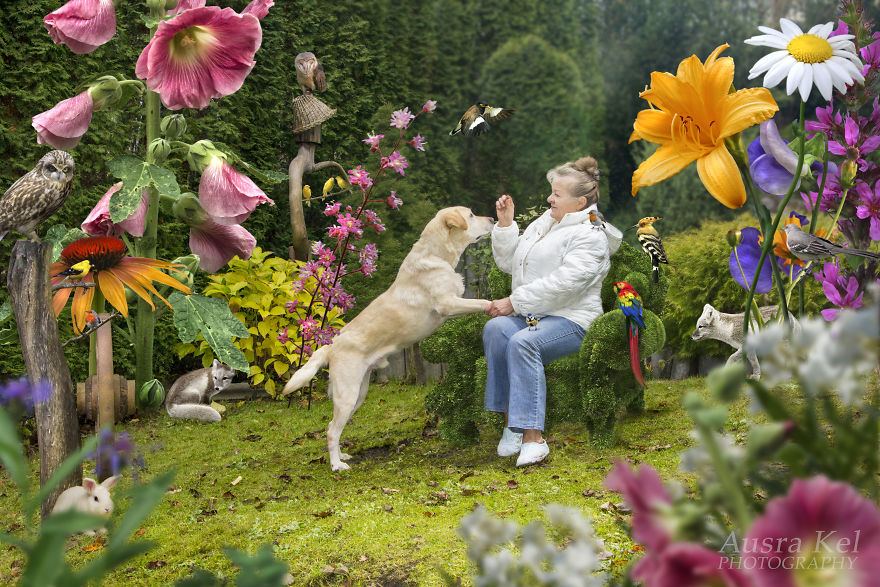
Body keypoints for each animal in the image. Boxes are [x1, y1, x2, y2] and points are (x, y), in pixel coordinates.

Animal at [284, 208, 496, 474]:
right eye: (471, 215)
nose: (493, 219)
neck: (436, 254)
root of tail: (330, 346)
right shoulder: (448, 304)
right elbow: (484, 302)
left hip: (359, 393)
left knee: (336, 428)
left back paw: (342, 455)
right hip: (347, 394)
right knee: (331, 431)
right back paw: (336, 465)